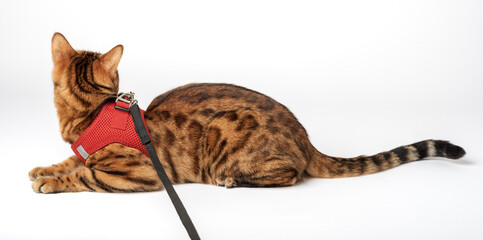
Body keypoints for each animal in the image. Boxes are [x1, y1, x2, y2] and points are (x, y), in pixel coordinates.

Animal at [28, 32, 466, 193]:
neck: (91, 117)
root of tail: (305, 138)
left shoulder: (139, 172)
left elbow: (82, 174)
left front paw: (51, 182)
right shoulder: (82, 150)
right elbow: (70, 159)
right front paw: (43, 168)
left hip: (228, 136)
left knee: (291, 175)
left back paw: (232, 180)